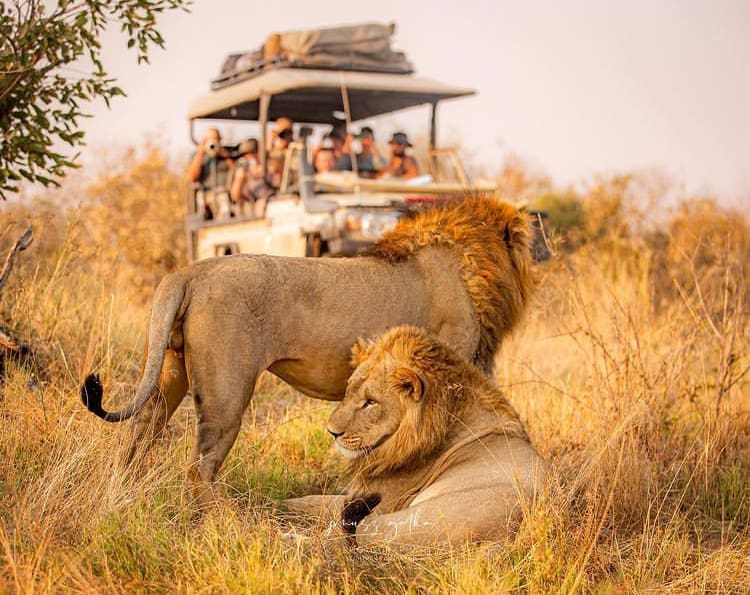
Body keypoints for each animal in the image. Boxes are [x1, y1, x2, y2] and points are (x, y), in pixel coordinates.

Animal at [81, 198, 534, 498]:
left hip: (169, 371)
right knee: (200, 467)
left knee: (139, 435)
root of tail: (192, 270)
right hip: (226, 394)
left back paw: (123, 495)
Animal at [285, 325, 547, 547]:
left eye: (371, 402)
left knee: (341, 538)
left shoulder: (388, 498)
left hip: (393, 522)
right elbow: (314, 498)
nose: (332, 432)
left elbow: (322, 505)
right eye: (348, 391)